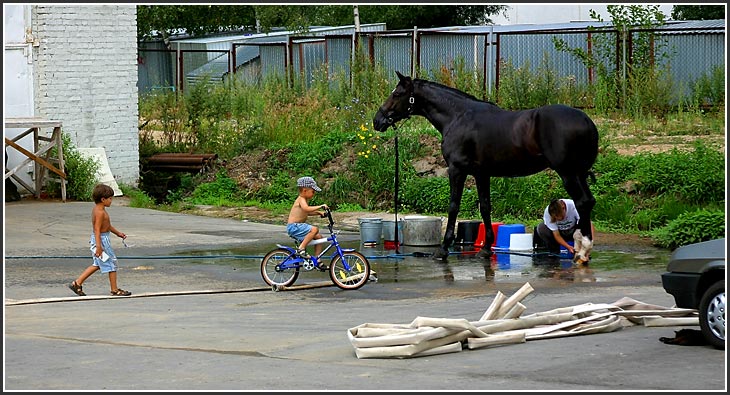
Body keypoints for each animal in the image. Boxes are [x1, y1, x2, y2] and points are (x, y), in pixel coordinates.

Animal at [372, 72, 596, 262]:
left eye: (397, 93)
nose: (377, 120)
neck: (458, 117)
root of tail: (586, 120)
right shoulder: (481, 174)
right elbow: (485, 207)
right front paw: (487, 248)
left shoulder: (457, 170)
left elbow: (453, 206)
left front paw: (443, 249)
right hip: (579, 174)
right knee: (588, 201)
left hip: (568, 173)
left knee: (582, 202)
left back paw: (582, 250)